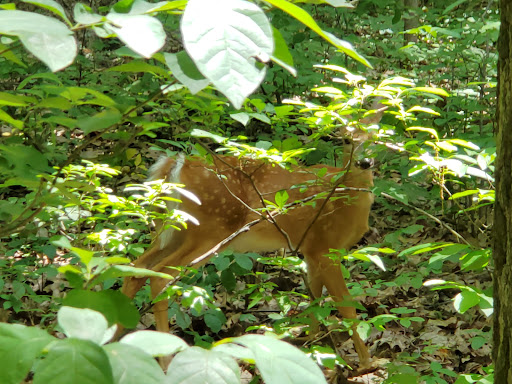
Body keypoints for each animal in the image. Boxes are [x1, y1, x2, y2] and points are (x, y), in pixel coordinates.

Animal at [119, 105, 384, 368]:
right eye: (347, 139)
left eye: (377, 138)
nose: (365, 162)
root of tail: (175, 165)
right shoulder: (325, 246)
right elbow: (346, 306)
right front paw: (367, 363)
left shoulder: (310, 249)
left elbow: (314, 298)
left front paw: (312, 344)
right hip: (209, 232)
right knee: (159, 277)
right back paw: (164, 361)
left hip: (171, 231)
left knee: (136, 269)